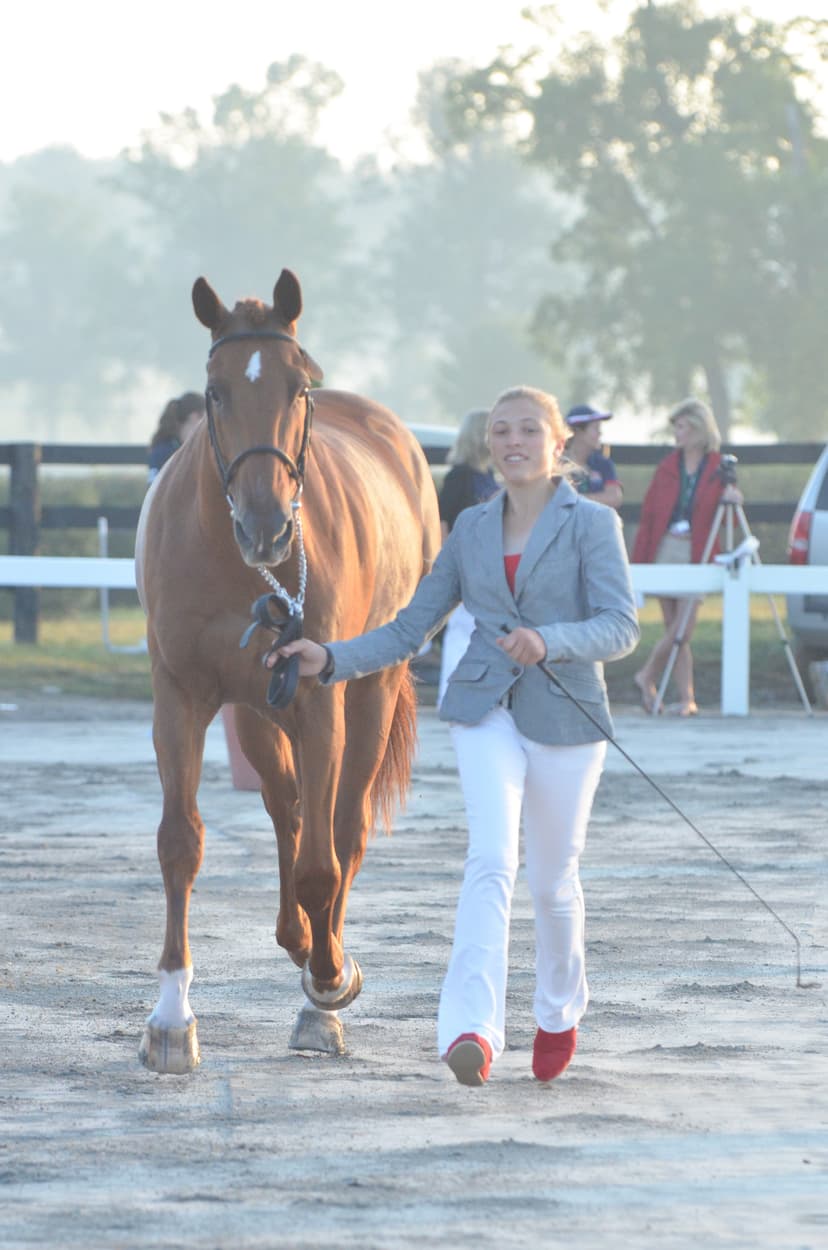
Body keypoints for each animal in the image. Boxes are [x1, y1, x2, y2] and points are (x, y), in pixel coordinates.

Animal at [135, 269, 441, 1073]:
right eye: (214, 391)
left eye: (300, 386)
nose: (267, 526)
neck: (228, 557)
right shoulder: (181, 697)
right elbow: (181, 843)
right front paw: (171, 1020)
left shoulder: (315, 698)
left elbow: (321, 864)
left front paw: (329, 985)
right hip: (253, 708)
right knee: (288, 808)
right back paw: (296, 938)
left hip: (368, 693)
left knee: (344, 829)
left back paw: (320, 978)